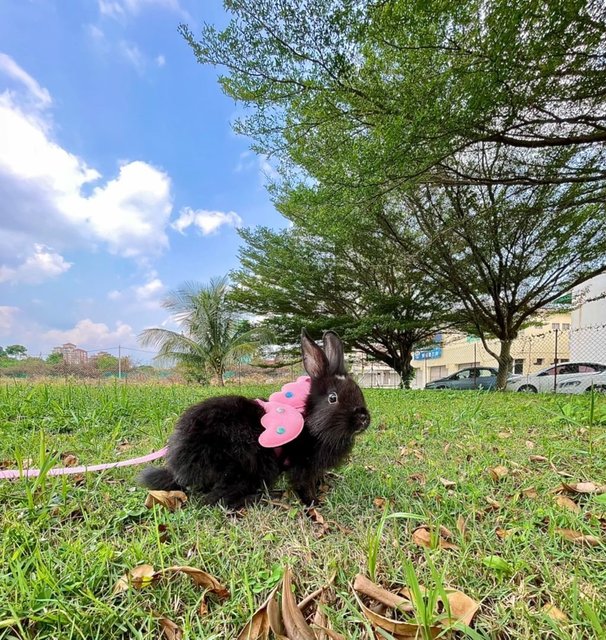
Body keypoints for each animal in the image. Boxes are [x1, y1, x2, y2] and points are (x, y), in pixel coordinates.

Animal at [139, 330, 370, 504]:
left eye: (358, 391)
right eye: (333, 398)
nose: (364, 419)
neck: (312, 423)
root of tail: (180, 469)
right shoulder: (300, 464)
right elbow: (303, 485)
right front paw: (313, 503)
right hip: (243, 467)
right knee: (215, 500)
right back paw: (263, 499)